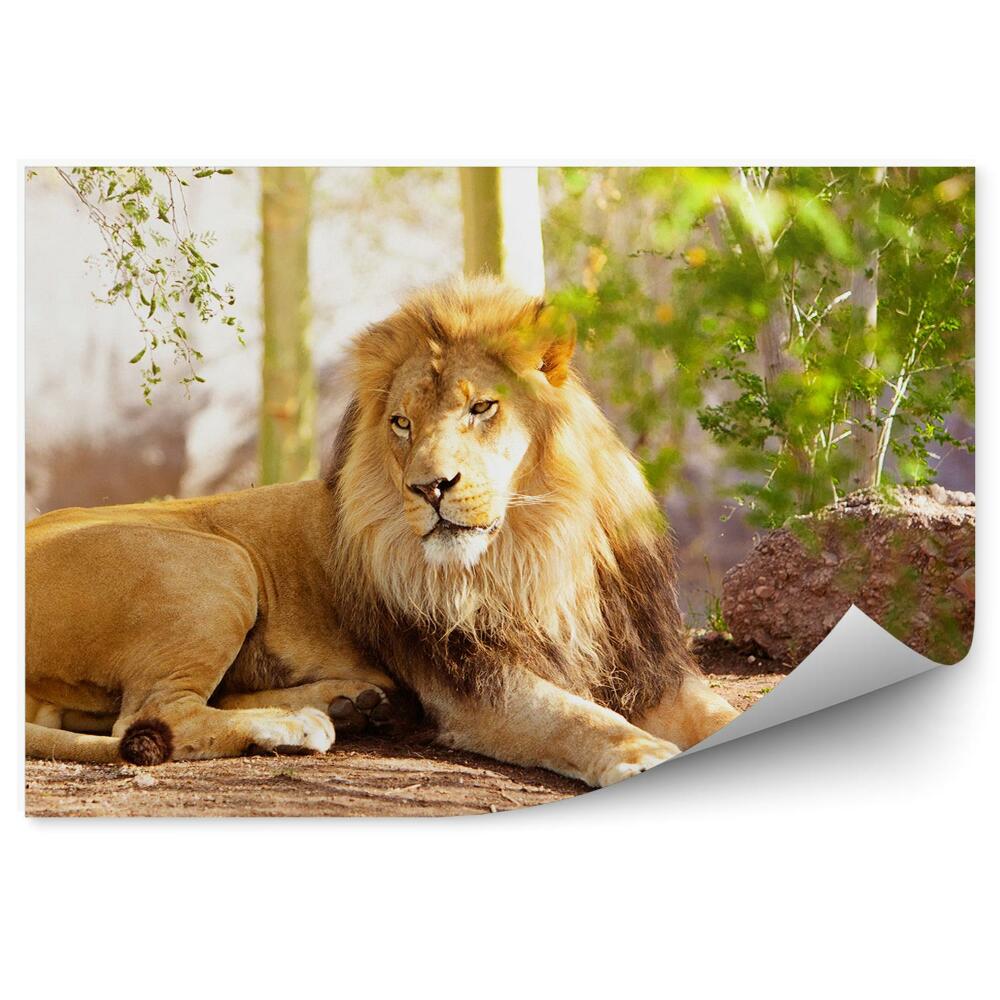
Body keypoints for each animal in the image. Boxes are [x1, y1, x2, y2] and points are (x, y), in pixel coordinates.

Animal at [26, 276, 738, 787]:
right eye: (401, 423)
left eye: (482, 407)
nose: (430, 487)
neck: (536, 551)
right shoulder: (476, 687)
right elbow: (578, 717)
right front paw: (643, 752)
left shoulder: (649, 667)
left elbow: (720, 713)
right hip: (214, 564)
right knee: (149, 715)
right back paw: (299, 725)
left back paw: (355, 702)